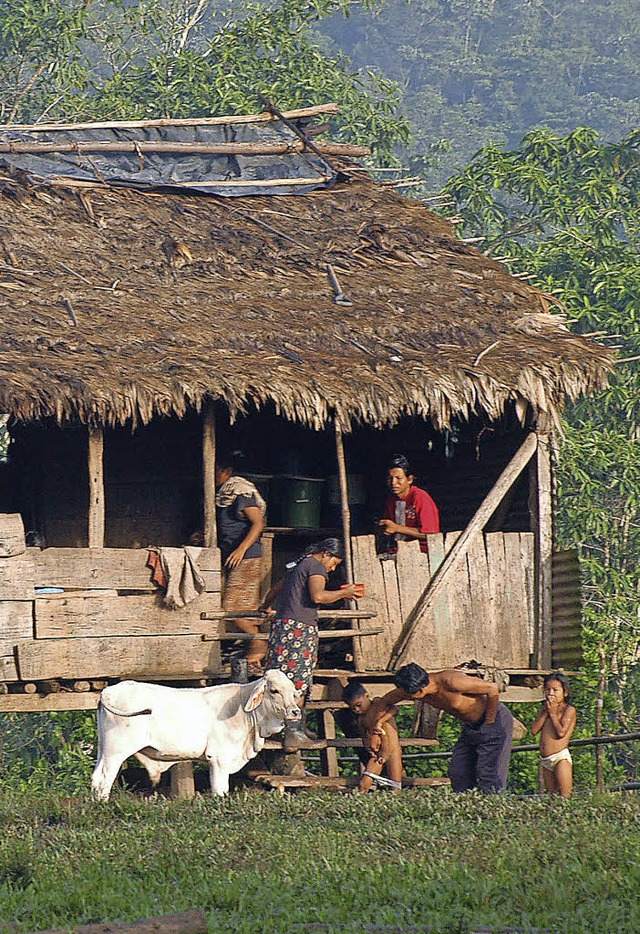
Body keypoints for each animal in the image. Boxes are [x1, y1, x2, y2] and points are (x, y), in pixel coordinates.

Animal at [90, 668, 300, 800]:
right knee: (104, 779)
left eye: (293, 691)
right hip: (116, 751)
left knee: (95, 778)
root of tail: (107, 692)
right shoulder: (219, 758)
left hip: (103, 749)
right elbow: (220, 790)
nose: (296, 712)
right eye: (274, 690)